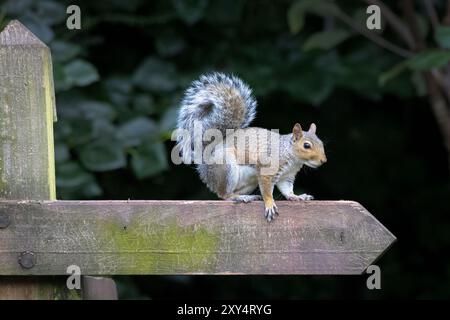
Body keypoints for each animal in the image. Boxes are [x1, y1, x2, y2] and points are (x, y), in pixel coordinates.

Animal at [176, 72, 326, 221]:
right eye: (306, 145)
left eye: (321, 143)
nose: (323, 161)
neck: (290, 156)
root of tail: (204, 163)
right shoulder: (266, 169)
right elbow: (267, 191)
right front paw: (269, 204)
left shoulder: (287, 176)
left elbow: (287, 190)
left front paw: (297, 197)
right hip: (226, 167)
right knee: (224, 195)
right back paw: (240, 197)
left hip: (250, 180)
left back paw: (249, 196)